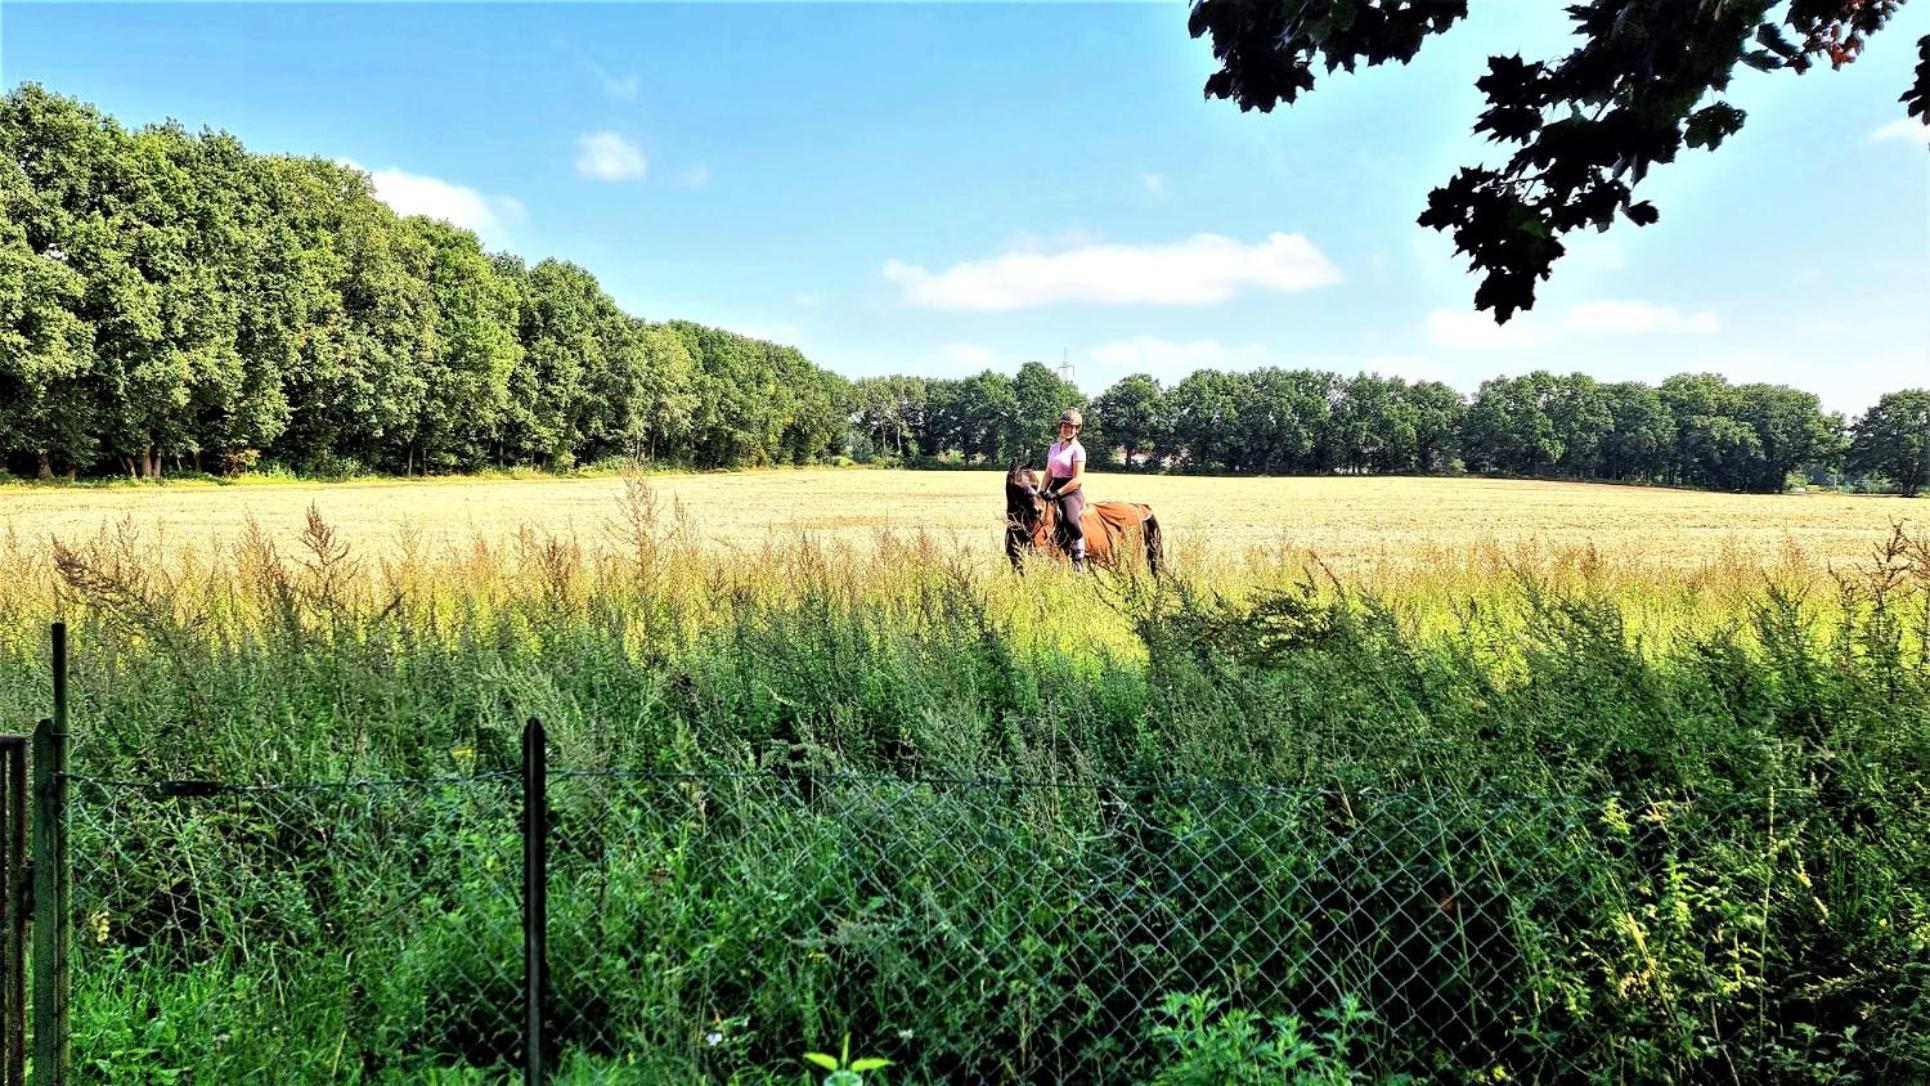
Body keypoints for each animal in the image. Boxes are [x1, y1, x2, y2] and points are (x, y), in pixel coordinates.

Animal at [1011, 461, 1158, 578]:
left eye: (1035, 484)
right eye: (1017, 485)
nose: (1037, 510)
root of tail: (1139, 508)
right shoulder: (1017, 561)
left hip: (1131, 559)